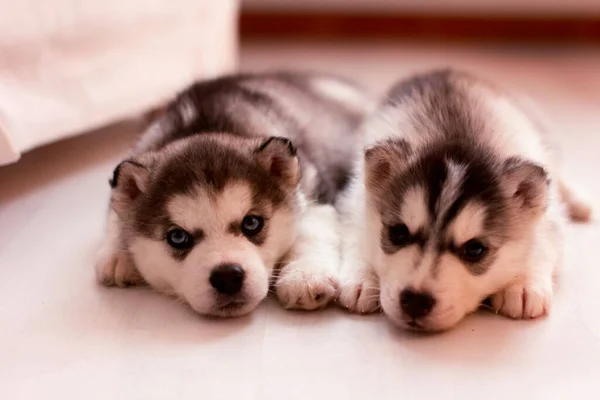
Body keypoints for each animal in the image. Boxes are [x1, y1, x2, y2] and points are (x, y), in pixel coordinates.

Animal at [94, 71, 372, 316]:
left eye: (252, 223)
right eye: (178, 237)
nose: (227, 277)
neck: (203, 125)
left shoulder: (315, 192)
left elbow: (310, 231)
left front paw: (304, 275)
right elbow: (116, 209)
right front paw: (117, 254)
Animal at [338, 69, 592, 332]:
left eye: (475, 249)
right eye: (398, 233)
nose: (416, 301)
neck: (458, 135)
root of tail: (446, 70)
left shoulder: (548, 218)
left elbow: (543, 240)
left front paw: (522, 283)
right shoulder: (354, 199)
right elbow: (355, 234)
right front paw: (362, 276)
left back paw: (579, 200)